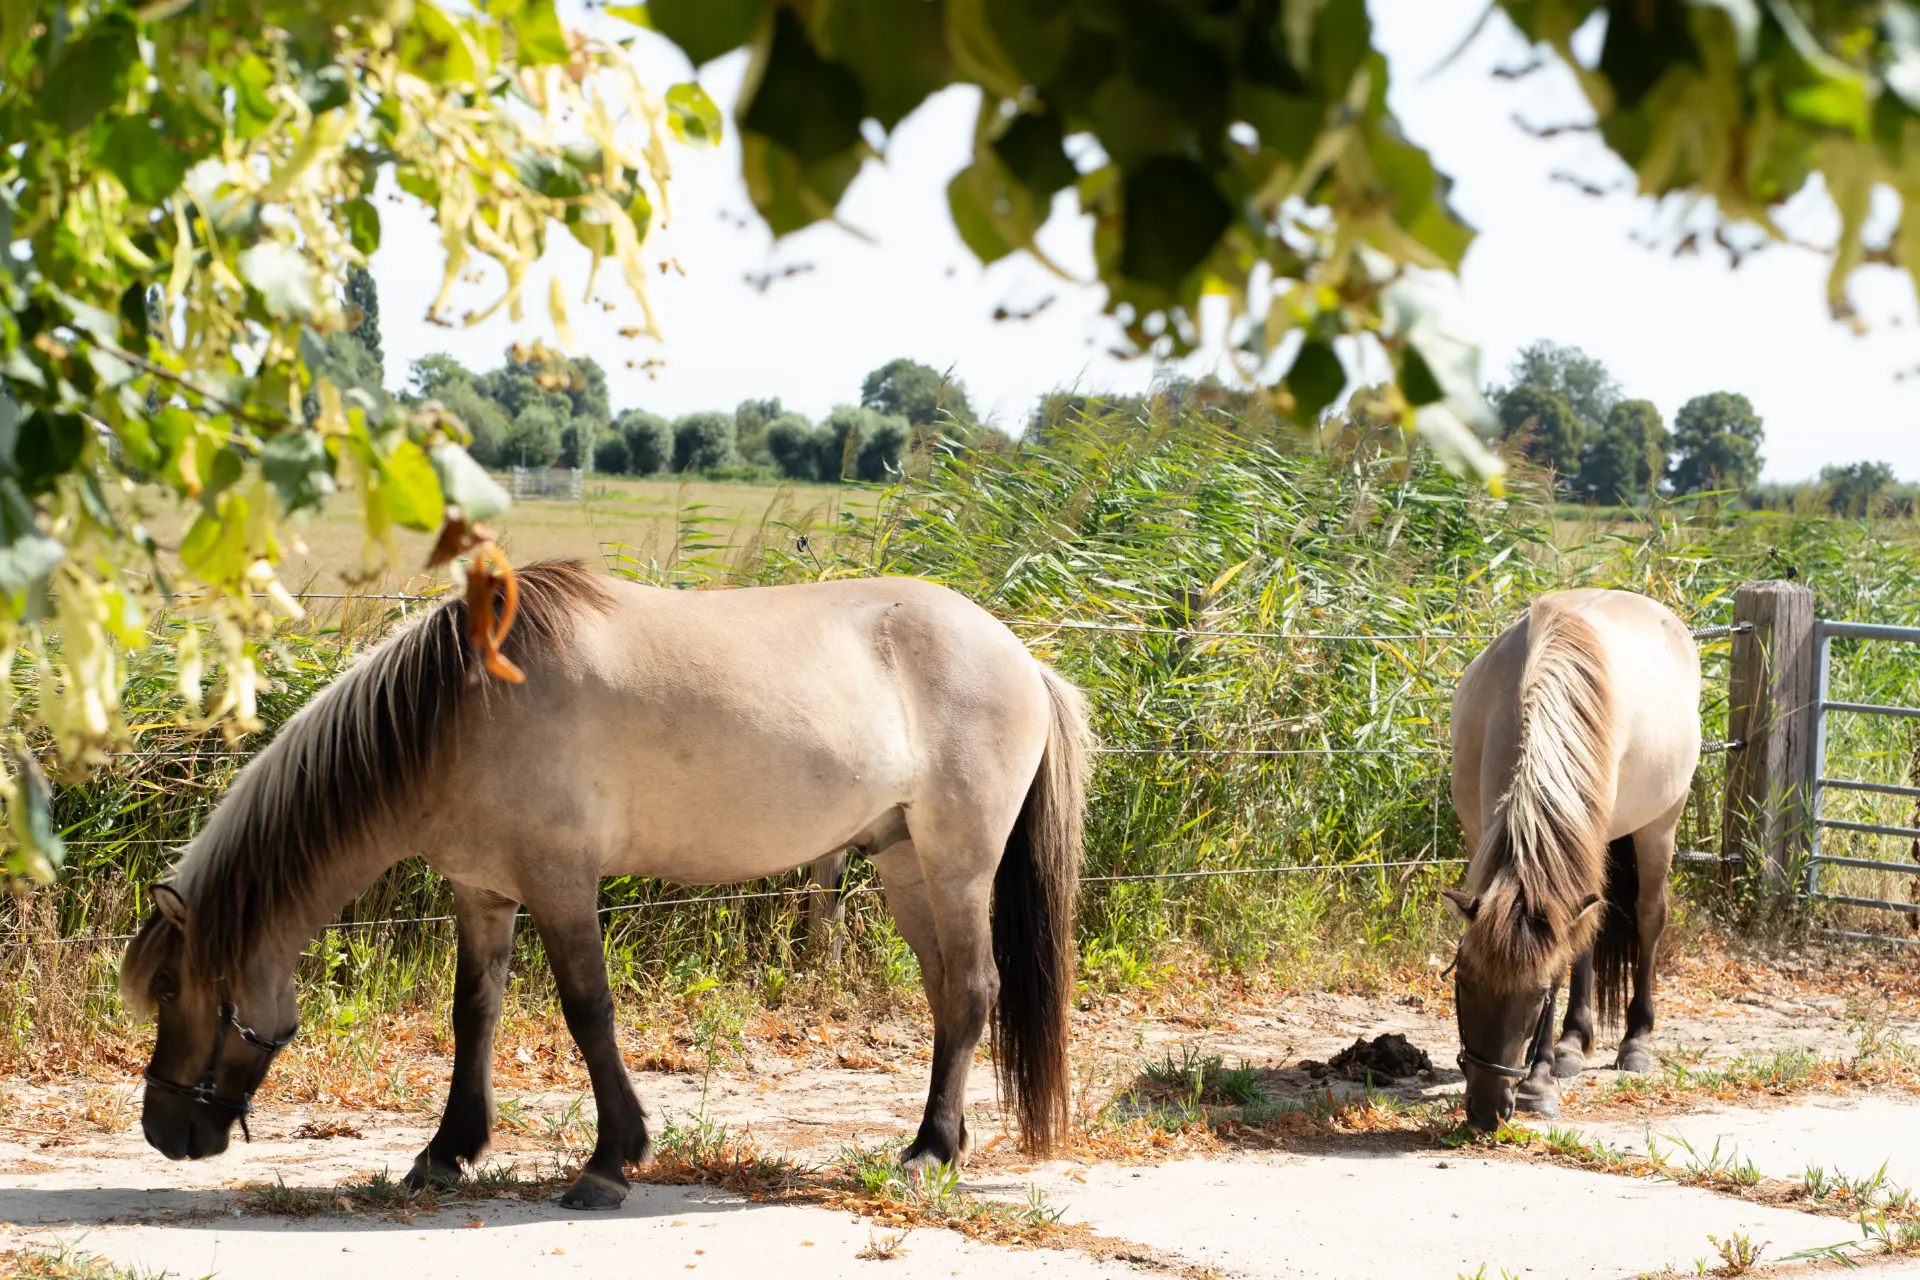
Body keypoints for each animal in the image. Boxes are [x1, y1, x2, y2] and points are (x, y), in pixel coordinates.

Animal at [118, 561, 1092, 1209]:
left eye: (170, 989)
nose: (163, 1132)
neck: (465, 707)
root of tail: (1019, 655)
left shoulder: (560, 882)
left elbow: (588, 1012)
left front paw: (610, 1160)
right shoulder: (484, 892)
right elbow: (474, 1016)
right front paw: (445, 1152)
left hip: (957, 859)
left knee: (973, 990)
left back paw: (929, 1155)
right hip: (903, 861)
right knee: (946, 995)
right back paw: (938, 1143)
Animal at [1444, 589, 1700, 1130]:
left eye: (1540, 997)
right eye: (1465, 983)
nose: (1488, 1111)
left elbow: (1567, 956)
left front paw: (1538, 1083)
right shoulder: (1479, 836)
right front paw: (1556, 1057)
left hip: (1658, 827)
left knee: (1649, 916)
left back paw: (1635, 1042)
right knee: (1587, 936)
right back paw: (1573, 1043)